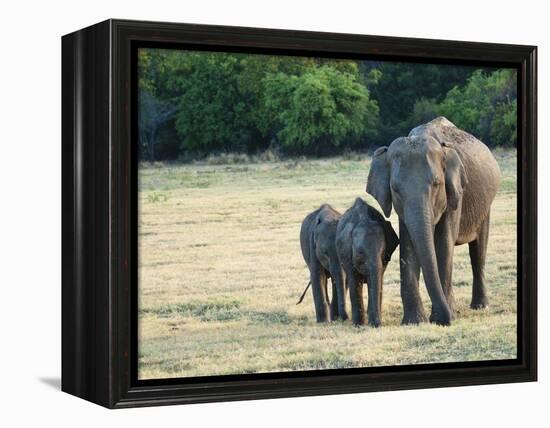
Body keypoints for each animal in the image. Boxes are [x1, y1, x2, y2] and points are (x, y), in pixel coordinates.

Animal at [338, 198, 398, 328]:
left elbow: (376, 280)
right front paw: (358, 325)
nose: (378, 325)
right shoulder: (346, 254)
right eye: (360, 254)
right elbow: (354, 280)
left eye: (383, 253)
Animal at [368, 117, 502, 324]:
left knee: (478, 250)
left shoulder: (455, 193)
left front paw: (443, 317)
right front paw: (414, 322)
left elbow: (443, 242)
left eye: (436, 184)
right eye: (395, 189)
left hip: (485, 205)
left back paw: (480, 306)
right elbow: (408, 244)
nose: (446, 320)